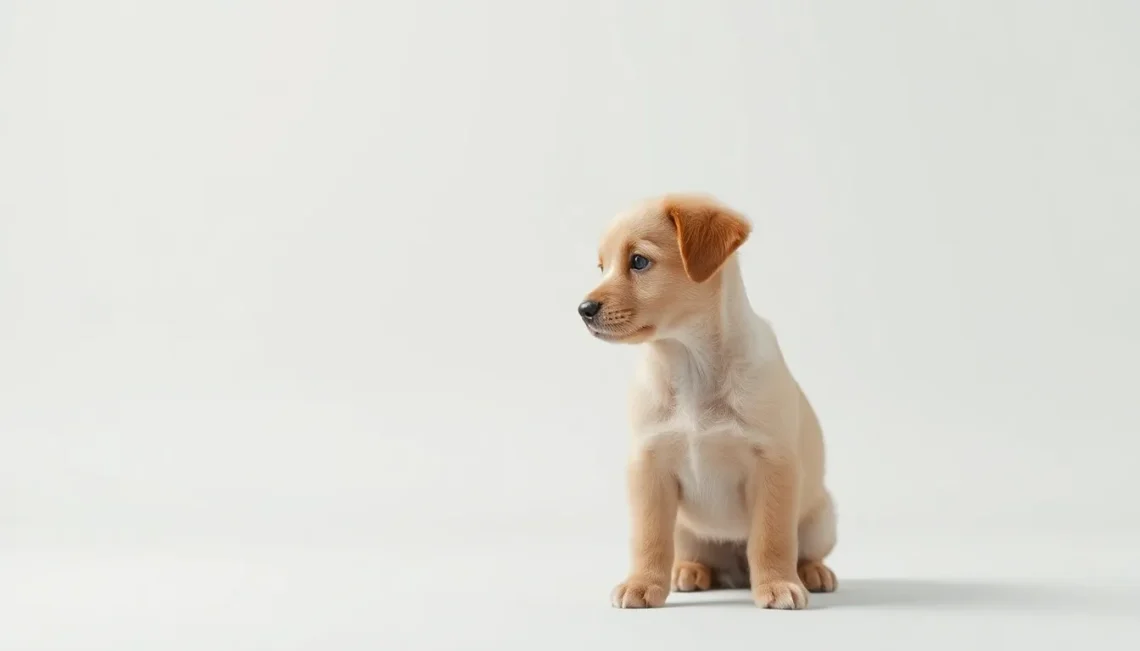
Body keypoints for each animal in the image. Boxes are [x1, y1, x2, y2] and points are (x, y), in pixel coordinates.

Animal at [579, 193, 837, 609]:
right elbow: (649, 539)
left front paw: (777, 584)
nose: (583, 310)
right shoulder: (649, 468)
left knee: (801, 549)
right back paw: (690, 571)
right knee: (691, 553)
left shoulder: (774, 465)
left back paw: (811, 572)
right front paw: (642, 583)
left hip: (821, 519)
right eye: (602, 267)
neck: (690, 363)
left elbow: (771, 539)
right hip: (687, 529)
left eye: (639, 261)